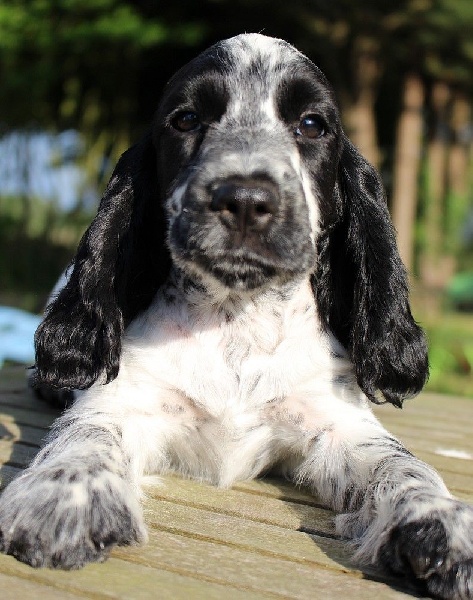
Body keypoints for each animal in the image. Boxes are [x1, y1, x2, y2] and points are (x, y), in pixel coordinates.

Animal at [0, 34, 471, 598]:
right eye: (185, 119)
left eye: (312, 124)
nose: (245, 198)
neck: (236, 319)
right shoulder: (122, 399)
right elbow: (84, 437)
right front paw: (63, 499)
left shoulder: (337, 423)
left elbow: (402, 464)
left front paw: (440, 522)